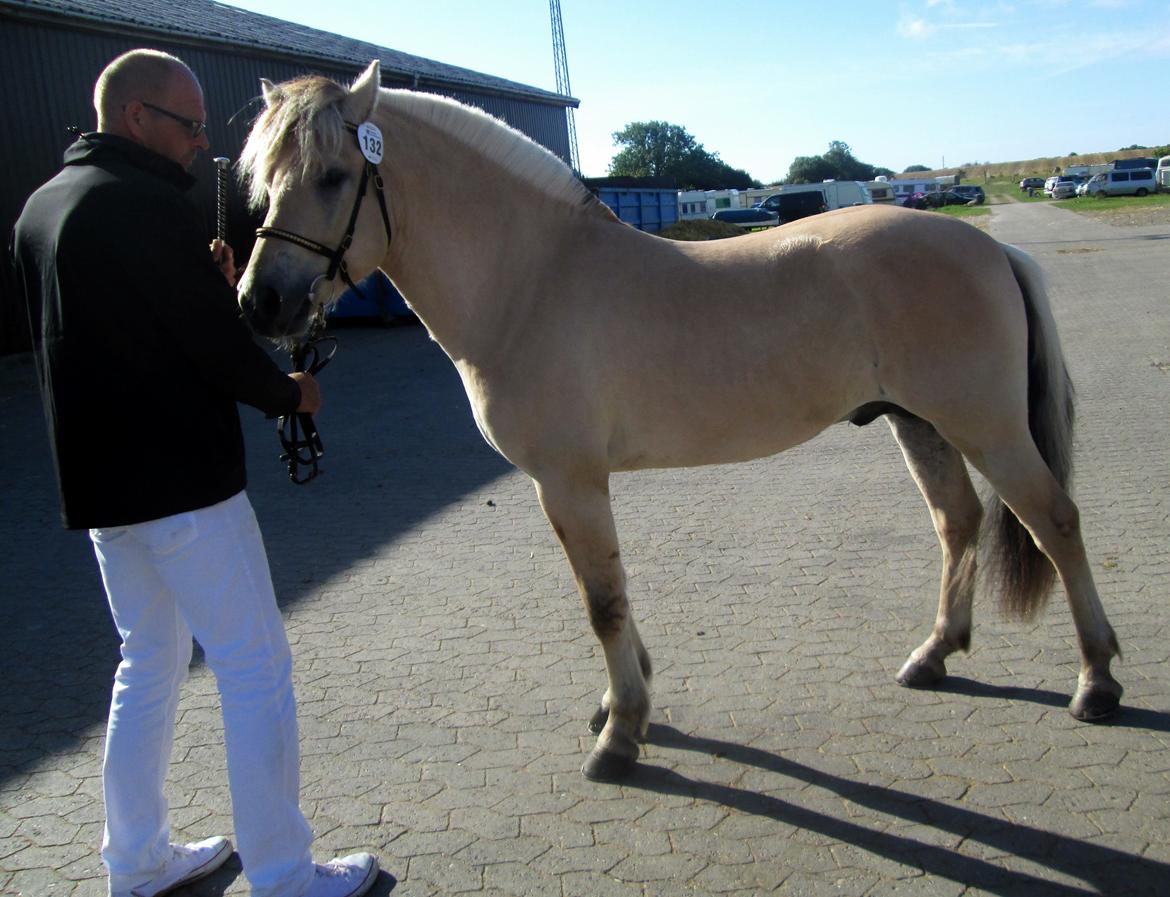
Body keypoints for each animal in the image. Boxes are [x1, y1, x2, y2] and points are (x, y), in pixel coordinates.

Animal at [235, 61, 1123, 776]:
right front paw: (622, 701)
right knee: (958, 520)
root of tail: (991, 249)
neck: (531, 281)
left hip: (986, 427)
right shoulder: (566, 487)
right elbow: (607, 592)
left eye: (332, 174)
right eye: (263, 179)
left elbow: (602, 600)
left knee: (1055, 520)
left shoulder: (569, 480)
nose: (261, 302)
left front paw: (621, 733)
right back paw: (934, 654)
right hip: (919, 421)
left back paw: (1097, 680)